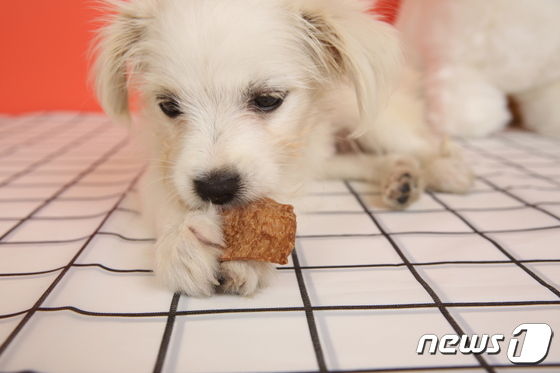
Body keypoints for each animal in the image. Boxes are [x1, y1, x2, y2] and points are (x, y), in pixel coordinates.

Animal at [94, 0, 474, 296]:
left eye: (267, 100)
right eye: (169, 106)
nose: (216, 189)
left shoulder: (288, 172)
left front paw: (246, 257)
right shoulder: (161, 165)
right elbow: (167, 197)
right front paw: (182, 241)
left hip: (377, 121)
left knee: (428, 142)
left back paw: (447, 170)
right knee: (368, 160)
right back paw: (401, 177)